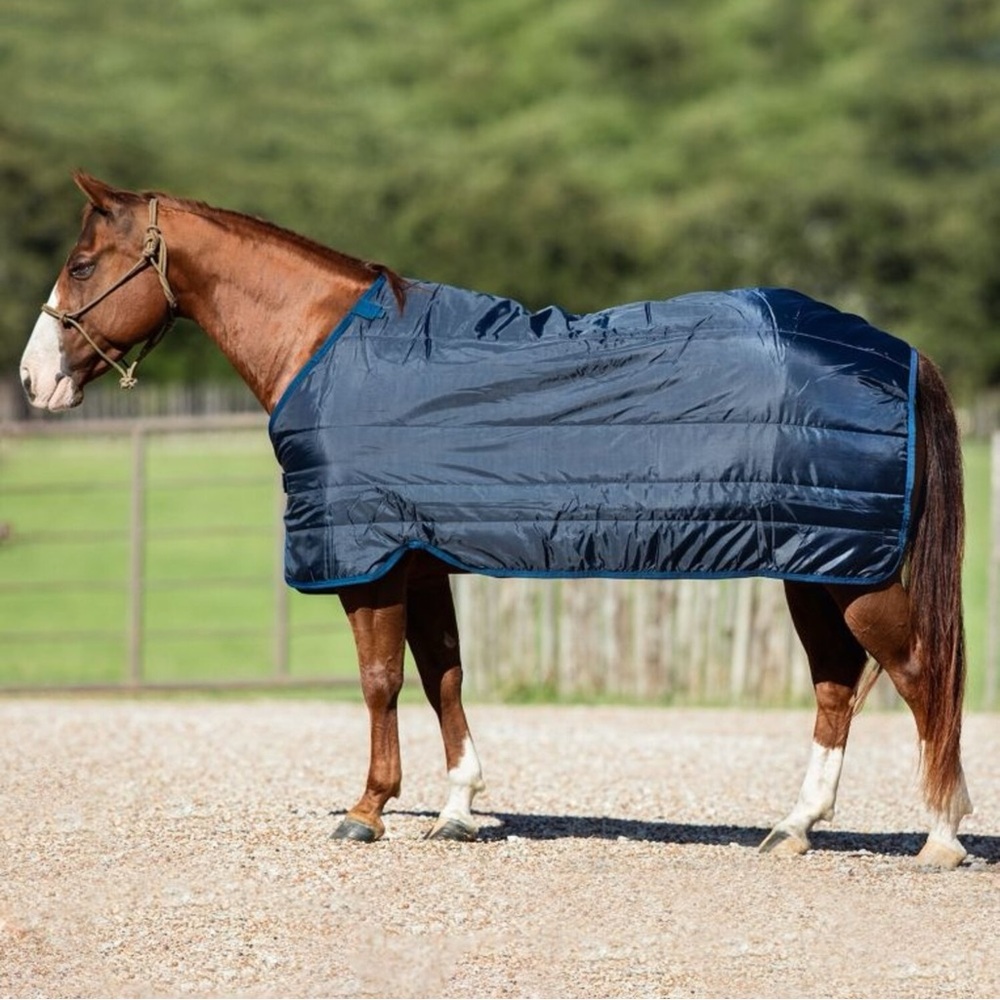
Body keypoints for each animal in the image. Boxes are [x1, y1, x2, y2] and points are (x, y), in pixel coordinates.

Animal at [19, 172, 972, 867]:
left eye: (82, 265)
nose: (34, 380)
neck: (330, 347)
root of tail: (901, 353)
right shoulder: (418, 555)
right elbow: (444, 674)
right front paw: (457, 808)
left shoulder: (369, 560)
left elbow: (380, 680)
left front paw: (368, 810)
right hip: (818, 563)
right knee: (838, 684)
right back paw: (795, 827)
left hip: (855, 573)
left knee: (919, 674)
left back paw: (941, 835)